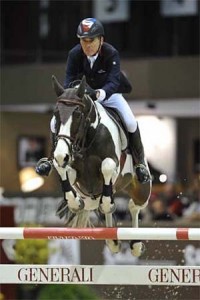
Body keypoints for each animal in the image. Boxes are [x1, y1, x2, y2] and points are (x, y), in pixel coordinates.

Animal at [51, 74, 152, 255]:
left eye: (77, 114)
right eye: (56, 114)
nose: (61, 155)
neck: (87, 139)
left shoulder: (112, 164)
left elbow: (106, 167)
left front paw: (107, 202)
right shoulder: (74, 171)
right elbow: (66, 173)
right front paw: (74, 201)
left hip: (142, 190)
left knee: (134, 206)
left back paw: (135, 244)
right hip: (91, 199)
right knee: (98, 206)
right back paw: (112, 240)